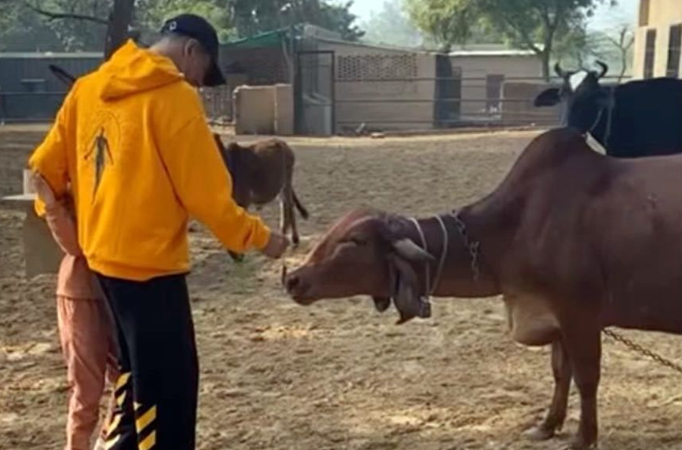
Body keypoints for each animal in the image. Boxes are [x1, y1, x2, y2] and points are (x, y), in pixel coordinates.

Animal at [282, 127, 680, 450]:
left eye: (354, 241)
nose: (293, 278)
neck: (515, 225)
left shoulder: (579, 312)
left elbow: (586, 376)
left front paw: (583, 437)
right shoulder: (553, 315)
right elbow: (559, 372)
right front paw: (547, 425)